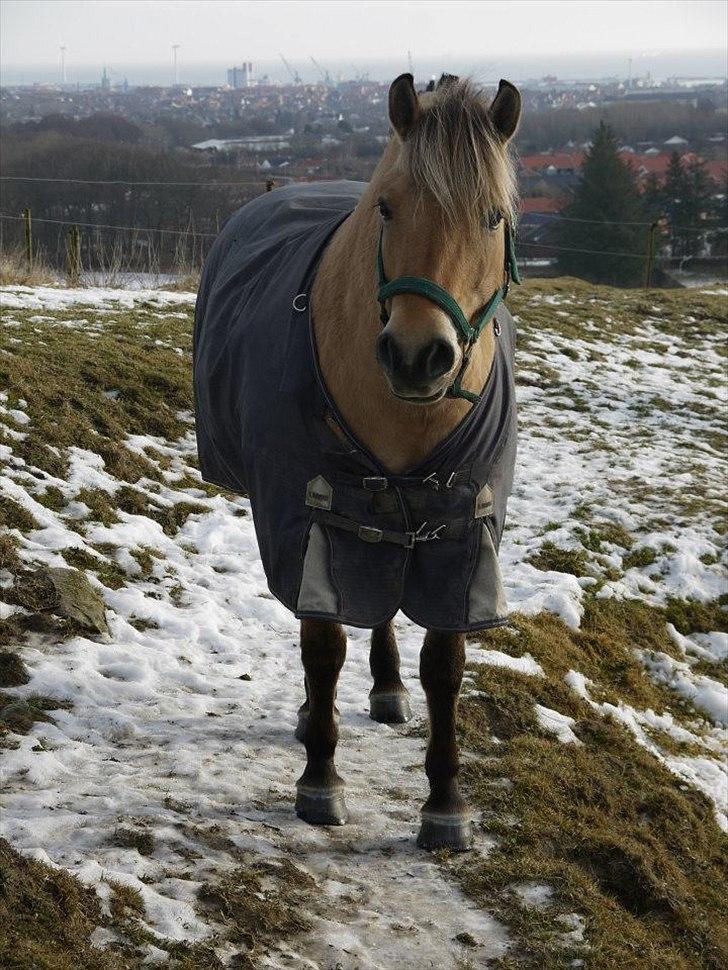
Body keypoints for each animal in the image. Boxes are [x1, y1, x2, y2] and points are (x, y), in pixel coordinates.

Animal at [196, 73, 520, 848]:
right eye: (388, 207)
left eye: (493, 217)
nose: (417, 355)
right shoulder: (314, 519)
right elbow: (322, 644)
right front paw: (320, 777)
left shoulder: (460, 529)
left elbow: (445, 665)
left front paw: (446, 803)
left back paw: (387, 688)